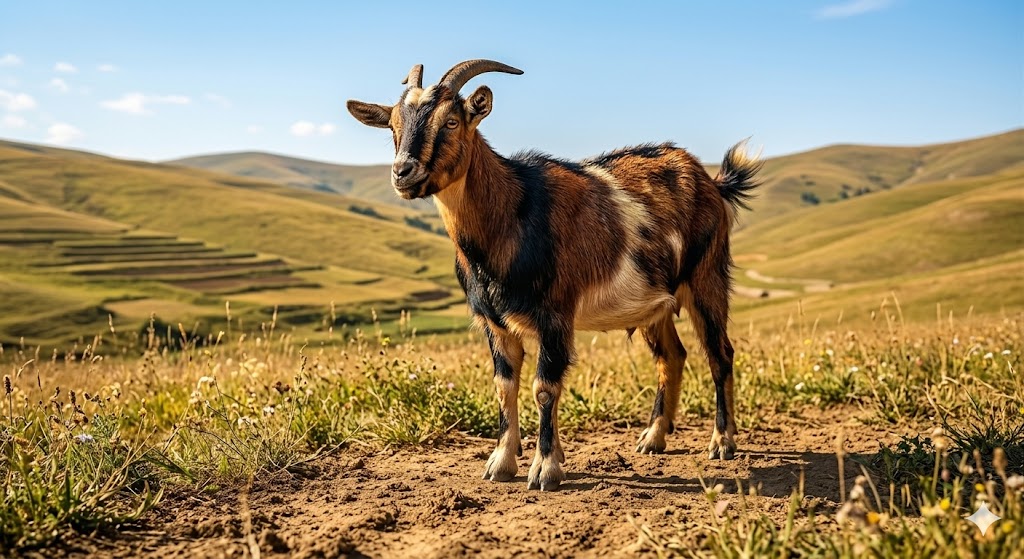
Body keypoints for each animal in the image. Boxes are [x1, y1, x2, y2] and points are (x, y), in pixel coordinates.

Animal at [347, 59, 762, 491]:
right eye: (393, 125)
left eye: (451, 121)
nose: (402, 172)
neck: (512, 213)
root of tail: (711, 182)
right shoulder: (495, 322)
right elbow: (504, 387)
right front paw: (501, 463)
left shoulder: (555, 314)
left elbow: (544, 388)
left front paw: (545, 469)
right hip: (654, 302)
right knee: (672, 356)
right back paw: (653, 438)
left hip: (706, 276)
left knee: (719, 353)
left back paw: (722, 442)